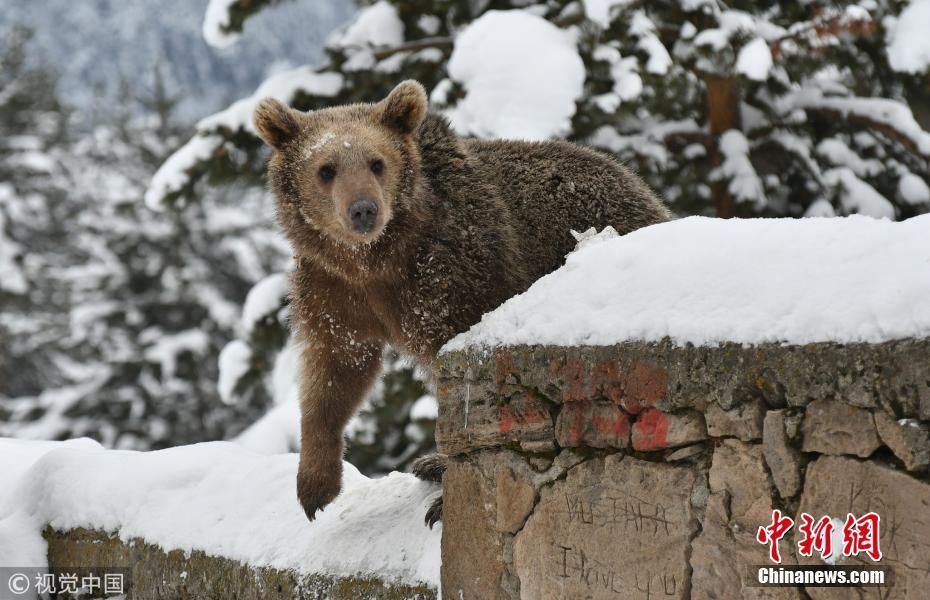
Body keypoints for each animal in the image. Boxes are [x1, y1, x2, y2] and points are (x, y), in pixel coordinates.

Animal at [252, 78, 668, 524]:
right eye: (326, 168)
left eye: (377, 163)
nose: (363, 210)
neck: (376, 258)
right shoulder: (332, 287)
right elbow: (336, 371)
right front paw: (315, 488)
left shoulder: (454, 269)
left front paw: (444, 489)